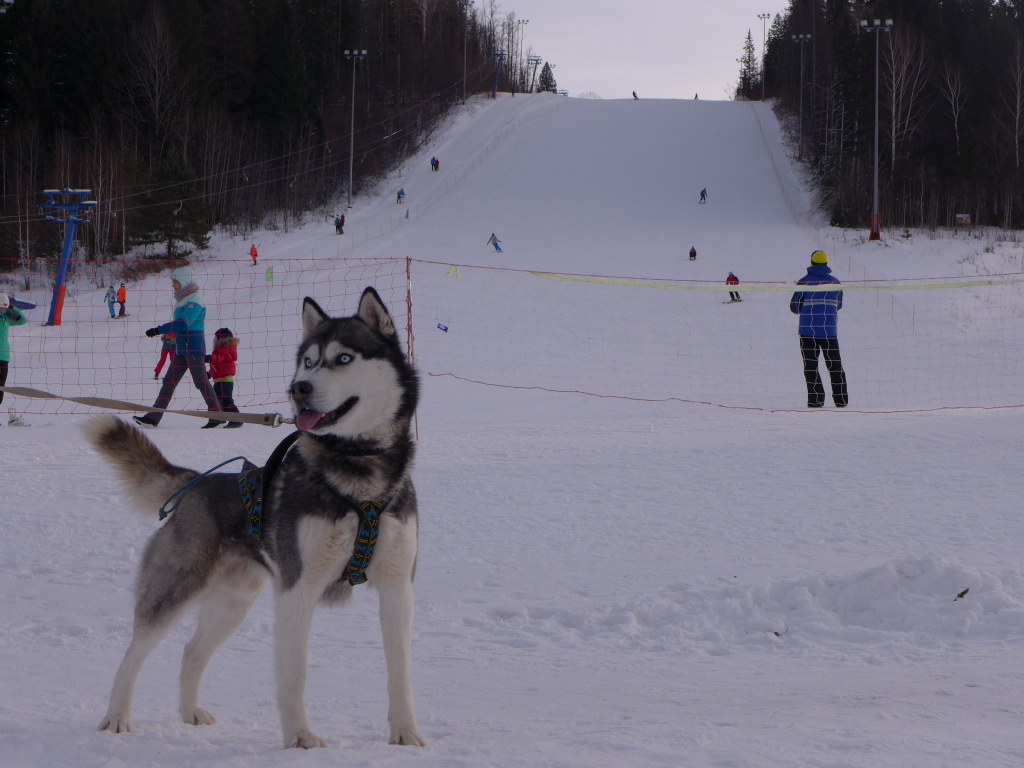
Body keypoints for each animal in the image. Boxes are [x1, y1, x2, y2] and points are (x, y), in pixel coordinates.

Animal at [82, 290, 428, 753]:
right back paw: (117, 717)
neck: (359, 476)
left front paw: (406, 733)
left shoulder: (397, 590)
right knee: (131, 656)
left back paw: (190, 711)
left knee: (191, 652)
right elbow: (295, 673)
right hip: (174, 589)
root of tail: (197, 483)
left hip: (234, 603)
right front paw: (299, 738)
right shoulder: (298, 589)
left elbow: (400, 673)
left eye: (343, 358)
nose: (298, 389)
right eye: (308, 361)